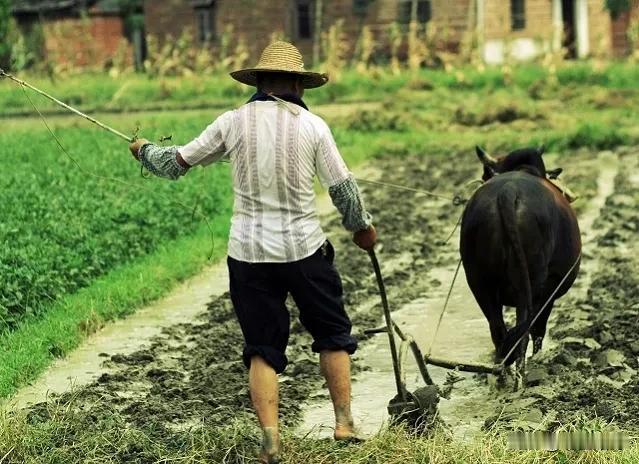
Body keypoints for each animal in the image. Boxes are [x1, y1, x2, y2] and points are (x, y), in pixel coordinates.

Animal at [462, 146, 584, 380]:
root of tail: (508, 191)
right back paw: (520, 375)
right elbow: (539, 329)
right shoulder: (550, 290)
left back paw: (502, 375)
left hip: (479, 284)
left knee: (498, 331)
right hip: (531, 284)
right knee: (523, 331)